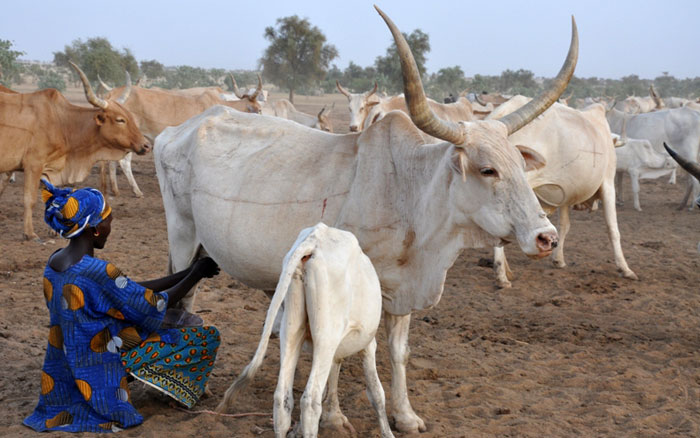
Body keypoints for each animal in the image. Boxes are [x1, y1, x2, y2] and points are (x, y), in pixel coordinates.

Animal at [0, 62, 150, 240]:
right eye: (120, 120)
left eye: (130, 117)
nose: (146, 145)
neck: (63, 122)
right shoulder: (33, 165)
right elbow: (30, 199)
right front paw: (29, 233)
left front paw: (54, 230)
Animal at [217, 224, 394, 436]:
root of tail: (314, 241)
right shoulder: (368, 344)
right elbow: (376, 392)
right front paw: (388, 433)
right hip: (326, 337)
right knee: (310, 400)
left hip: (292, 329)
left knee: (282, 399)